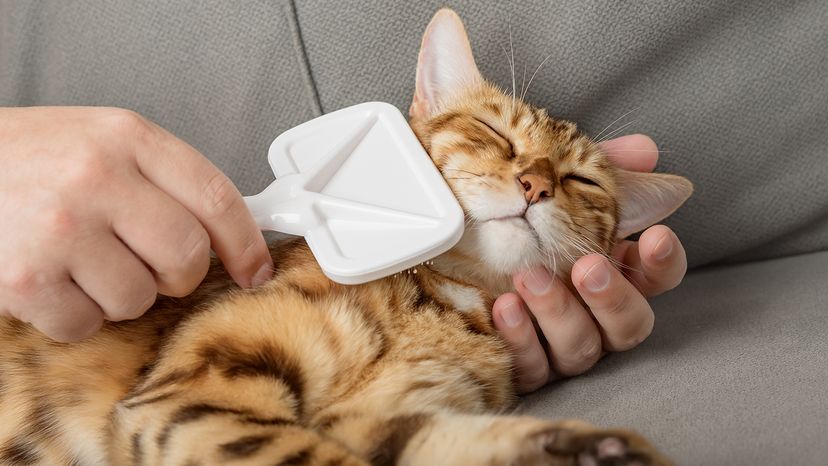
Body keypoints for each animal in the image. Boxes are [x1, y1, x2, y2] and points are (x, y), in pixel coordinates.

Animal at [0, 8, 692, 466]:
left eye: (580, 182)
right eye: (495, 133)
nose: (535, 185)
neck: (440, 302)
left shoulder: (374, 418)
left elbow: (429, 442)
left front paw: (584, 449)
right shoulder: (193, 395)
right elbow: (301, 454)